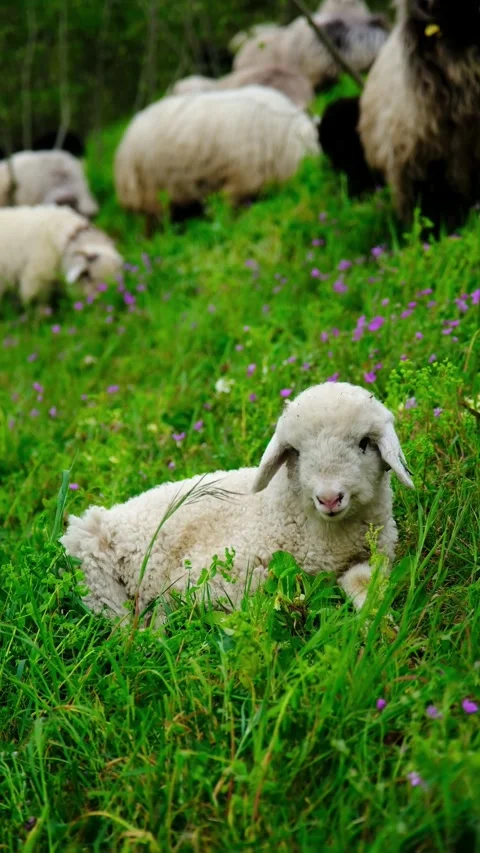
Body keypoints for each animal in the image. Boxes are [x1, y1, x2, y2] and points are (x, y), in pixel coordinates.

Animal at [61, 382, 414, 621]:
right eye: (297, 452)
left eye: (364, 443)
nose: (329, 498)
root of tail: (110, 514)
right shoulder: (217, 575)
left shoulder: (375, 557)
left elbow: (364, 584)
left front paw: (379, 622)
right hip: (95, 573)